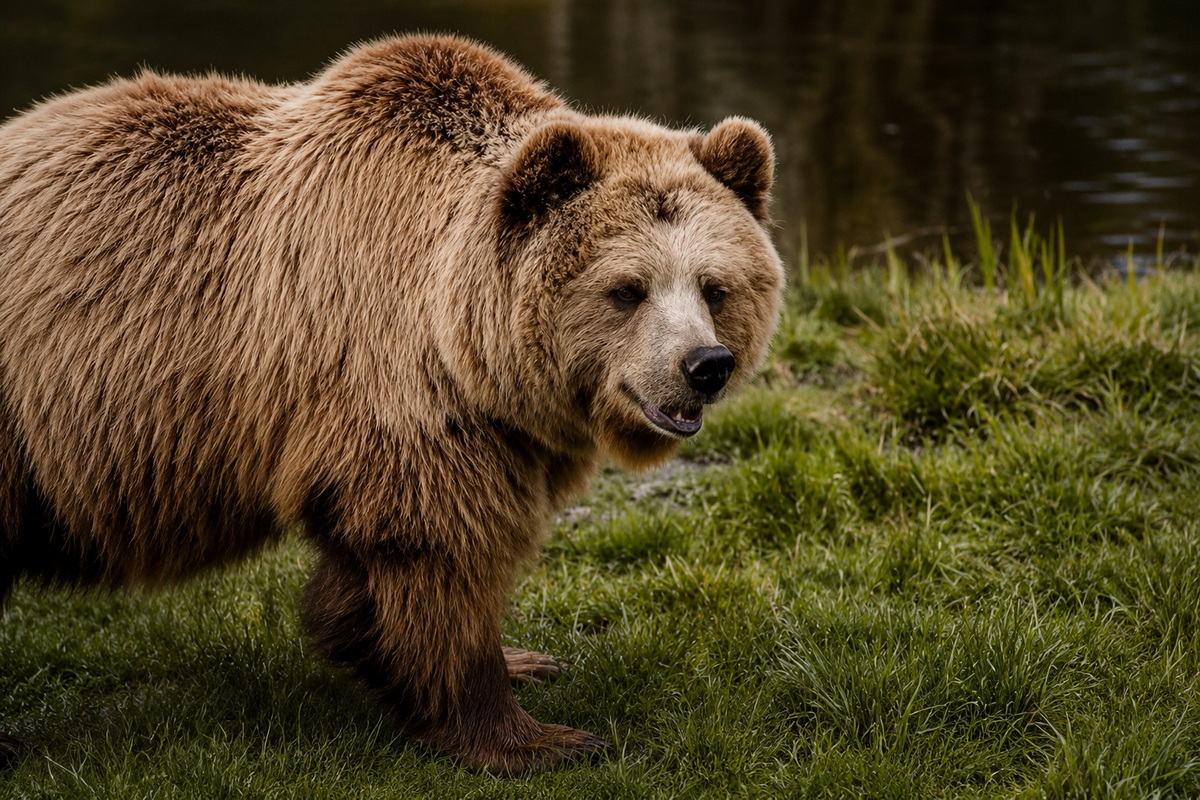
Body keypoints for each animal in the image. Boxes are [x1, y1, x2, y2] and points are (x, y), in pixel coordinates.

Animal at [0, 34, 783, 774]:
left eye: (714, 285)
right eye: (627, 289)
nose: (705, 366)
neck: (465, 341)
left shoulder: (470, 423)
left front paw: (513, 661)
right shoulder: (395, 382)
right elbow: (437, 551)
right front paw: (534, 737)